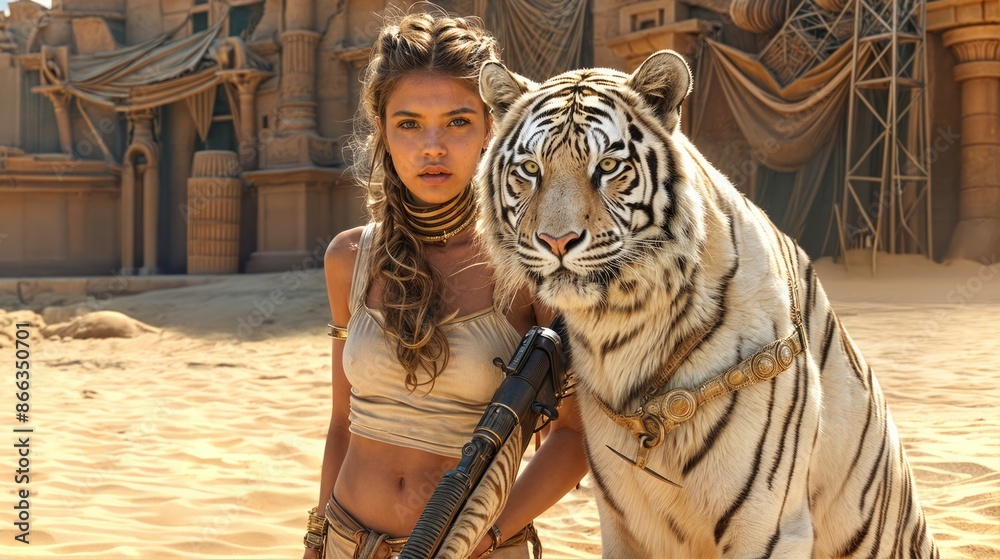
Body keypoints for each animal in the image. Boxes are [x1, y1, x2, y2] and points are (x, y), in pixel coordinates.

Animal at [474, 49, 939, 558]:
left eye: (609, 166)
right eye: (530, 169)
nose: (557, 241)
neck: (615, 331)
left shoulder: (767, 524)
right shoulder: (624, 522)